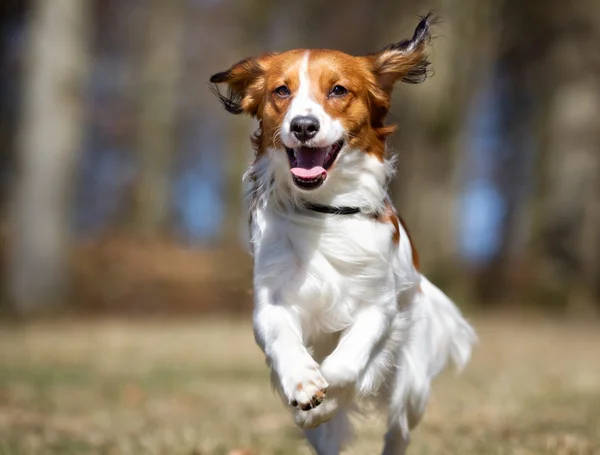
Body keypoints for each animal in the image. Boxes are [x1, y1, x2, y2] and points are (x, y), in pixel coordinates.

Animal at [209, 14, 476, 455]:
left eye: (338, 90)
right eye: (281, 91)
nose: (303, 125)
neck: (325, 211)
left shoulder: (379, 306)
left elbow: (349, 361)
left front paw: (327, 392)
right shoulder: (272, 301)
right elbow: (284, 340)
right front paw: (304, 385)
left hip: (410, 388)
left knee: (398, 430)